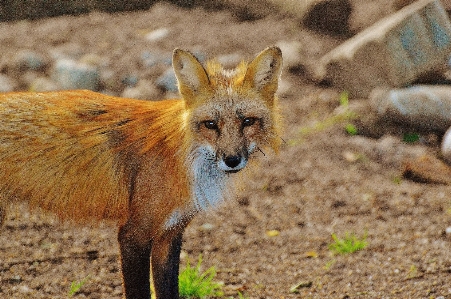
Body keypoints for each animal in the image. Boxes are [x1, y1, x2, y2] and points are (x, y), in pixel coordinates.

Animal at [0, 47, 282, 299]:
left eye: (248, 121)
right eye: (210, 124)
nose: (232, 160)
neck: (182, 158)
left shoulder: (170, 235)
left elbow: (169, 292)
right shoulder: (133, 234)